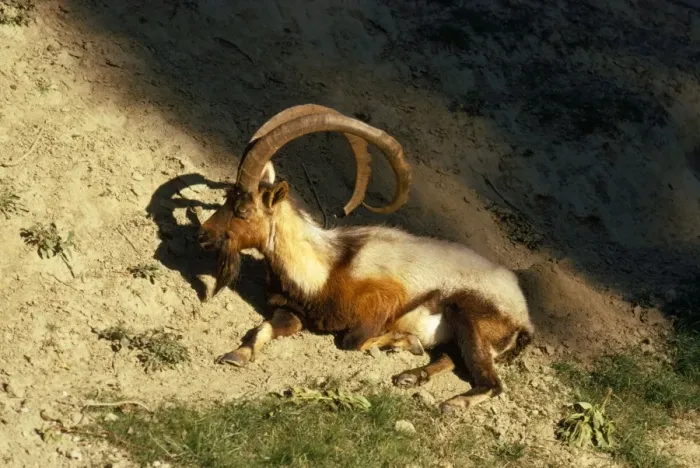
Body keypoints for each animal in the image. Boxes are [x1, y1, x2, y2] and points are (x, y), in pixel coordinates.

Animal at [198, 104, 534, 413]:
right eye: (227, 198)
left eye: (243, 210)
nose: (203, 234)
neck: (327, 268)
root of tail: (524, 317)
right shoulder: (294, 312)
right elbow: (264, 327)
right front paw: (236, 356)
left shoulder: (379, 306)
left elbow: (350, 342)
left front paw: (407, 342)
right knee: (453, 359)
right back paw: (411, 377)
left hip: (471, 318)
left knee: (491, 382)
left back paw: (452, 402)